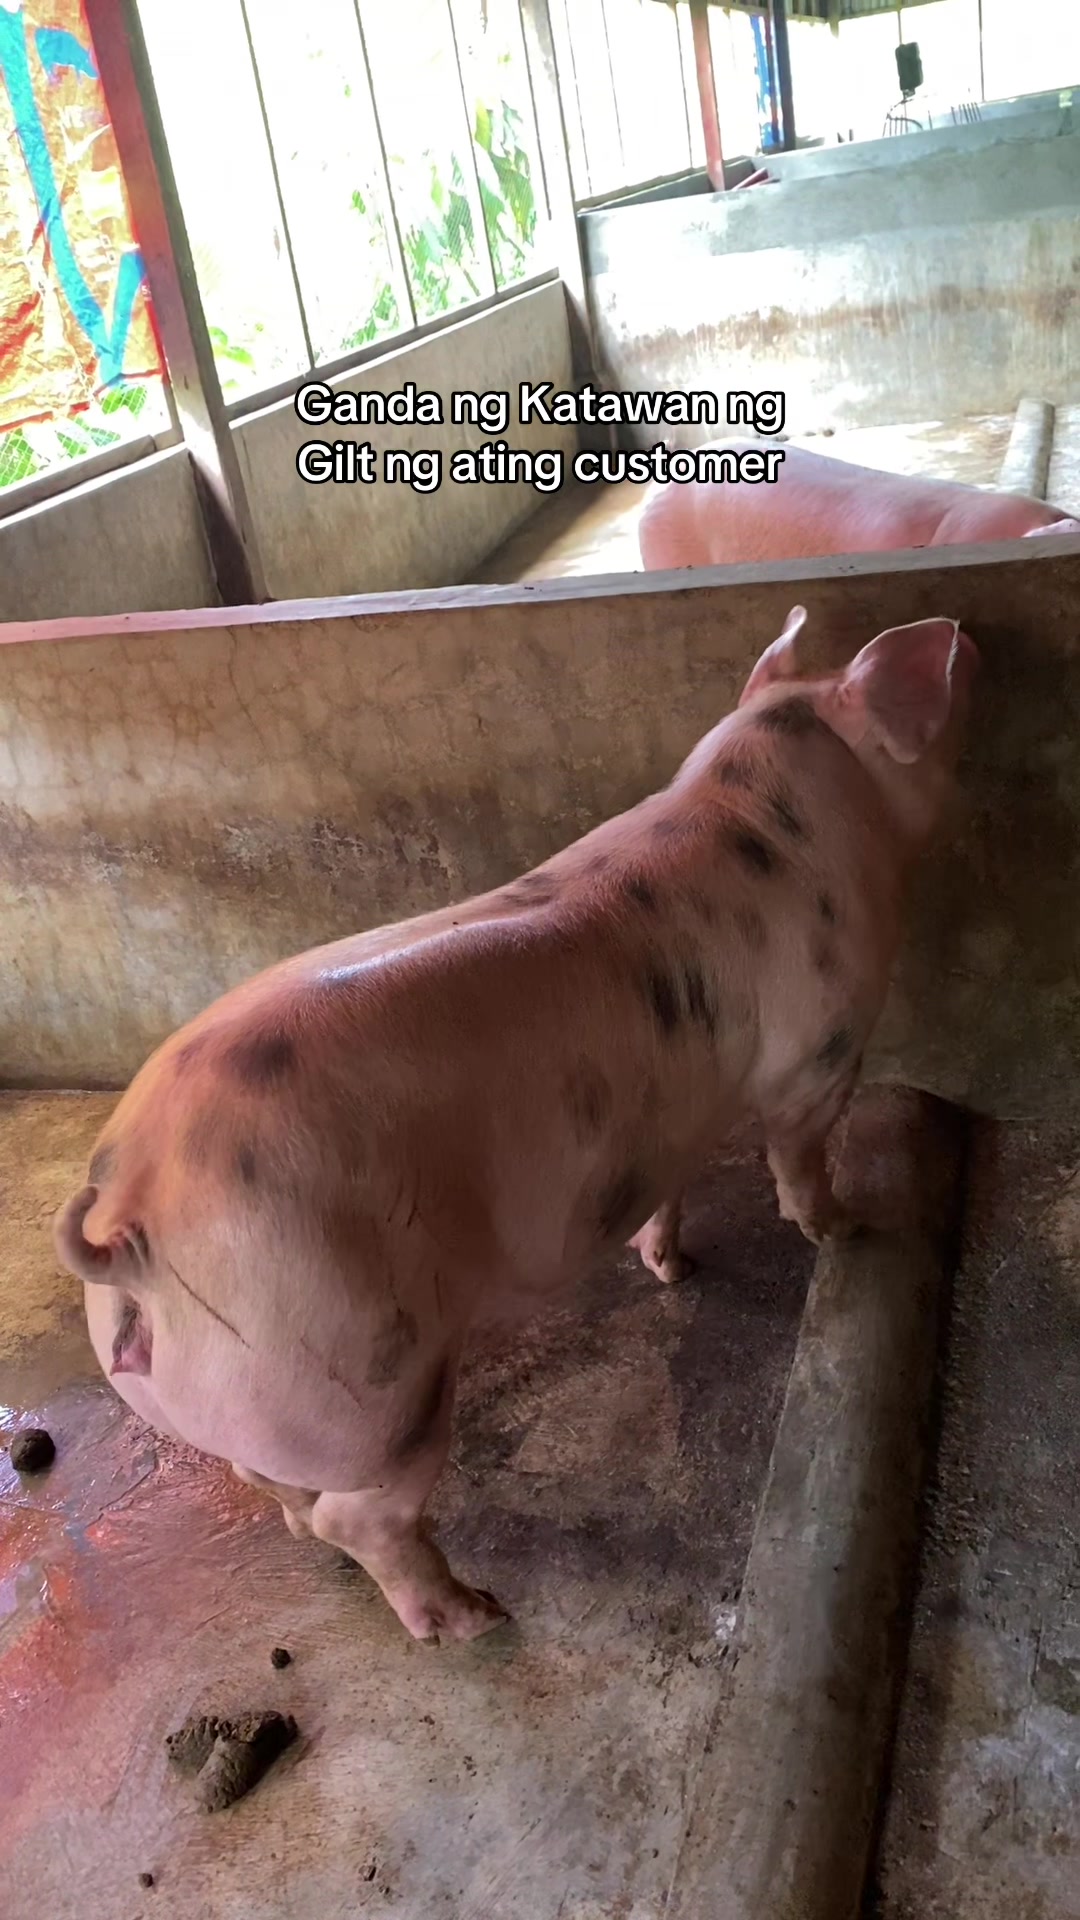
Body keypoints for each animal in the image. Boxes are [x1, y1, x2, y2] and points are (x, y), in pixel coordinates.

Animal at [54, 608, 977, 1647]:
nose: (978, 644)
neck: (769, 812)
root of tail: (131, 1215)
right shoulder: (817, 1053)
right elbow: (799, 1157)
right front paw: (851, 1229)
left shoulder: (663, 1119)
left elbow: (669, 1187)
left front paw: (674, 1270)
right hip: (363, 1369)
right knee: (365, 1517)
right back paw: (474, 1618)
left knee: (280, 1486)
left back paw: (311, 1534)